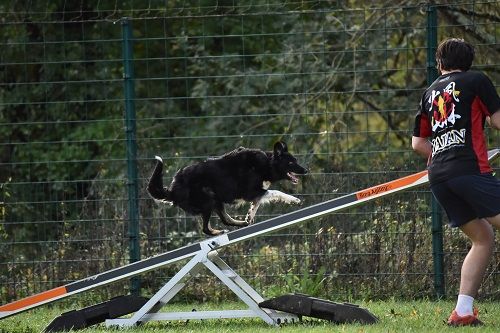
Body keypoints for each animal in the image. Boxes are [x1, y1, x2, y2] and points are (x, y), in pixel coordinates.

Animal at [146, 141, 306, 235]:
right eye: (291, 163)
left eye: (296, 160)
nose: (306, 170)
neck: (266, 164)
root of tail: (172, 189)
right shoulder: (251, 192)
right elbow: (274, 192)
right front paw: (294, 200)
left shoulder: (256, 193)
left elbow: (256, 203)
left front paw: (249, 216)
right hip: (208, 200)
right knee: (206, 228)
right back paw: (218, 232)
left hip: (216, 201)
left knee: (225, 219)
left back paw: (241, 223)